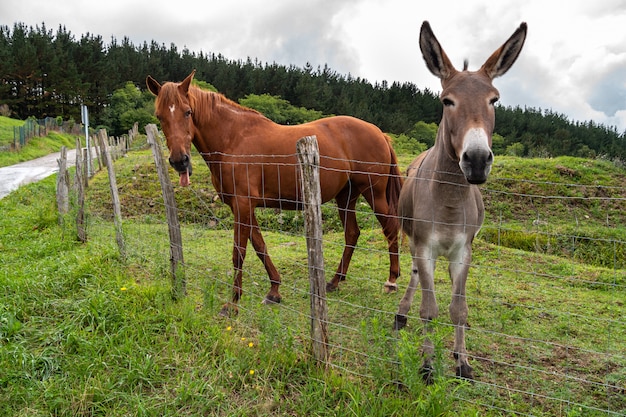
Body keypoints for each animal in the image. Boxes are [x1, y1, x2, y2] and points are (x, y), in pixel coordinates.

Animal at [145, 72, 400, 316]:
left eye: (187, 112)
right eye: (160, 116)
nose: (180, 161)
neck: (233, 140)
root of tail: (380, 134)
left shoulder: (243, 205)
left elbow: (239, 253)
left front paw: (233, 304)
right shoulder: (243, 207)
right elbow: (260, 246)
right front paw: (274, 291)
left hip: (374, 194)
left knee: (391, 228)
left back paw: (391, 281)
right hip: (346, 197)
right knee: (352, 234)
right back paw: (335, 281)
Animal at [392, 21, 524, 382]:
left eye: (494, 100)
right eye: (447, 101)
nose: (476, 160)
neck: (450, 199)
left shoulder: (464, 250)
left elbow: (459, 308)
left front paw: (462, 361)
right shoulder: (425, 247)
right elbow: (429, 309)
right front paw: (427, 364)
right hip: (414, 242)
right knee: (414, 276)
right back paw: (401, 315)